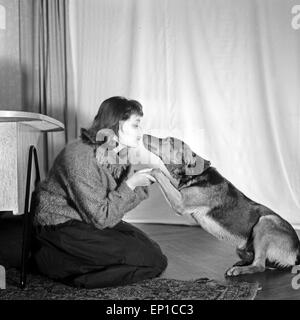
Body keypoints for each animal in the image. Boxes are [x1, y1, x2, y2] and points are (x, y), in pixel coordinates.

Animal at [142, 134, 298, 276]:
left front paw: (147, 172)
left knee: (260, 266)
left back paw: (239, 270)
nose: (144, 135)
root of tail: (296, 253)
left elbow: (157, 171)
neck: (197, 173)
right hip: (243, 246)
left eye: (169, 141)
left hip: (265, 221)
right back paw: (241, 263)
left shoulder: (180, 203)